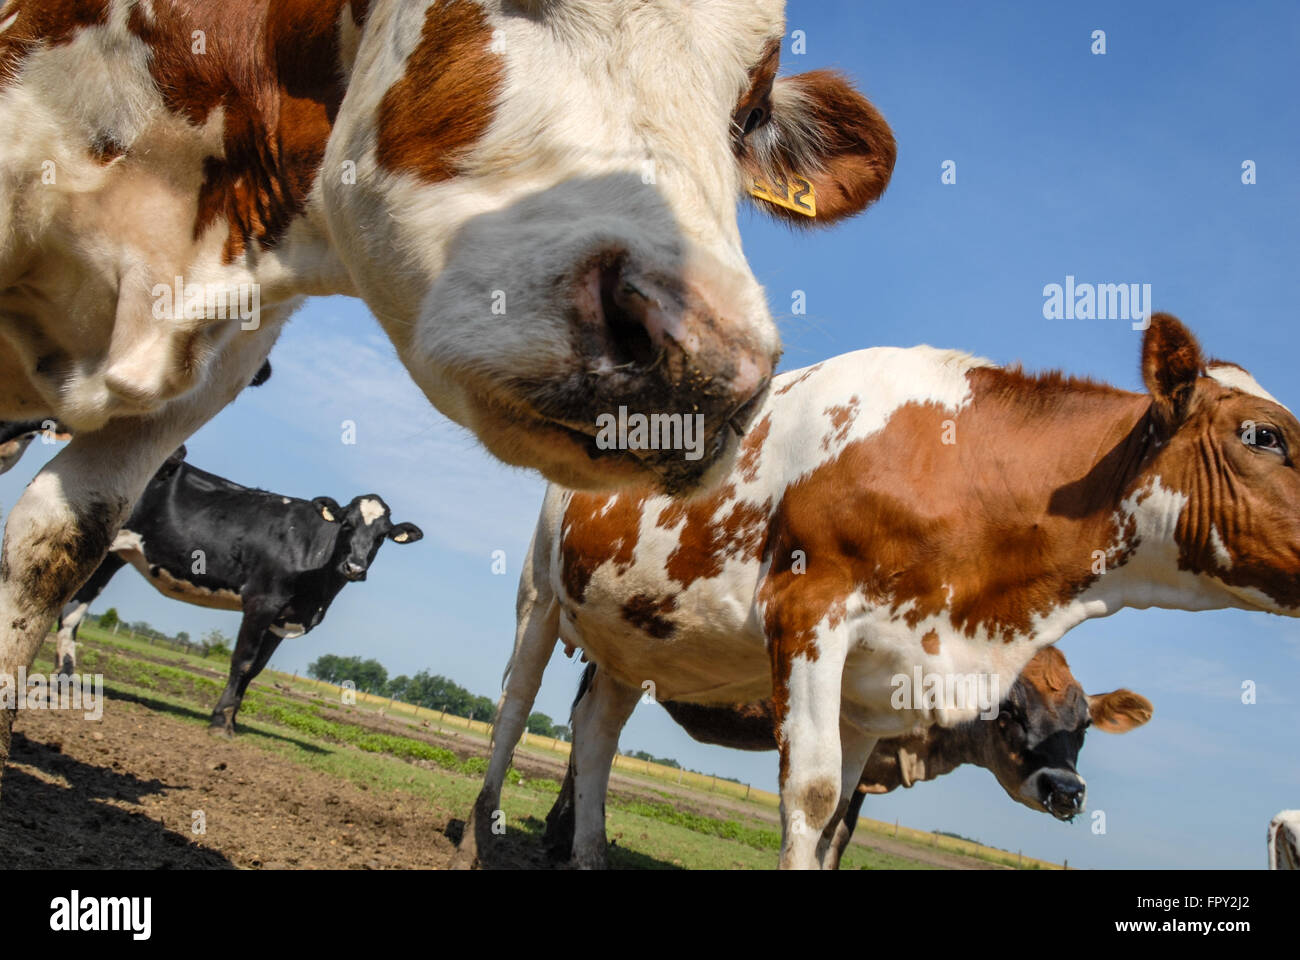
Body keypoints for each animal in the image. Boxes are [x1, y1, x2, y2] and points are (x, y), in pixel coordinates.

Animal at [51, 447, 423, 736]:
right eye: (346, 524)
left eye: (382, 536)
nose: (355, 568)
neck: (316, 593)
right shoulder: (261, 603)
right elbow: (242, 662)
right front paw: (220, 721)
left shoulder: (282, 618)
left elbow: (256, 670)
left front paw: (234, 719)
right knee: (67, 608)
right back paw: (63, 678)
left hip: (116, 555)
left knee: (75, 608)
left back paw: (64, 680)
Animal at [541, 647, 1152, 867]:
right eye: (1010, 712)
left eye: (1084, 725)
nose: (1066, 790)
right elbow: (827, 829)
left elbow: (839, 834)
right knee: (589, 735)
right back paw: (561, 831)